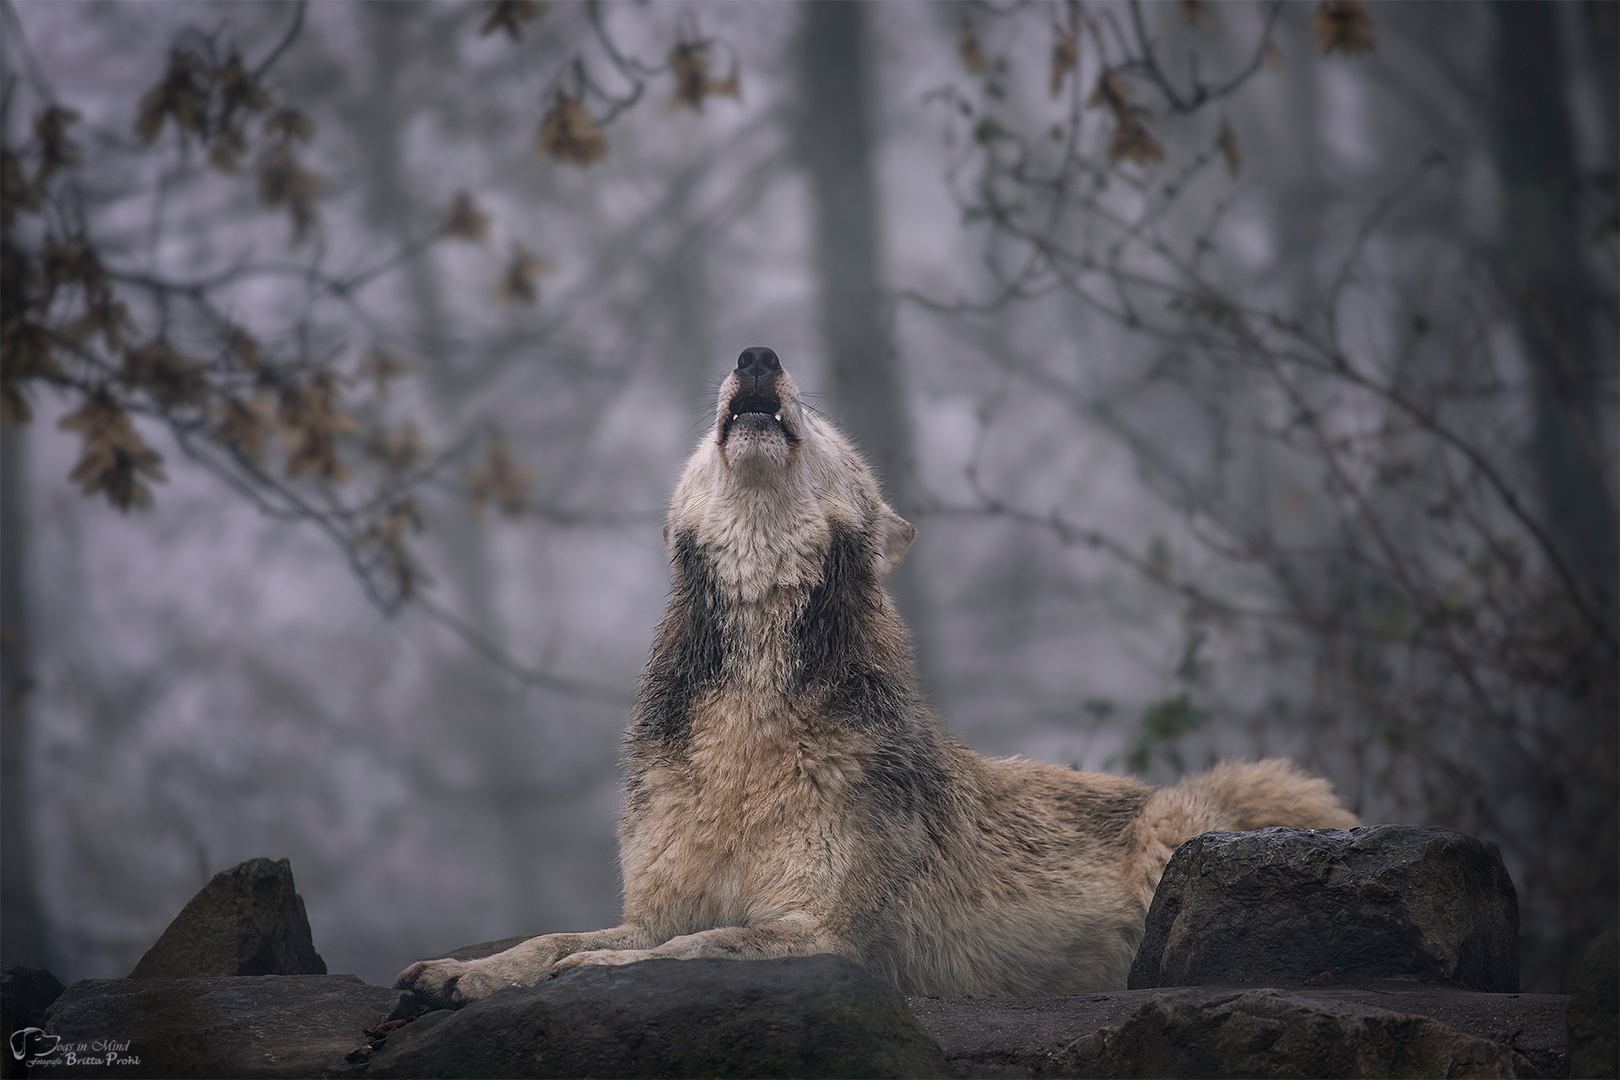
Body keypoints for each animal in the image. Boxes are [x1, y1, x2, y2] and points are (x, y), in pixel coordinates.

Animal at [395, 351, 1354, 1010]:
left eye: (818, 423)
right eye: (727, 395)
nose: (757, 356)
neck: (748, 733)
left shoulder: (823, 933)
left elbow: (687, 949)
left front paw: (589, 970)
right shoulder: (661, 902)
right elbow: (556, 933)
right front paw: (464, 971)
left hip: (1179, 833)